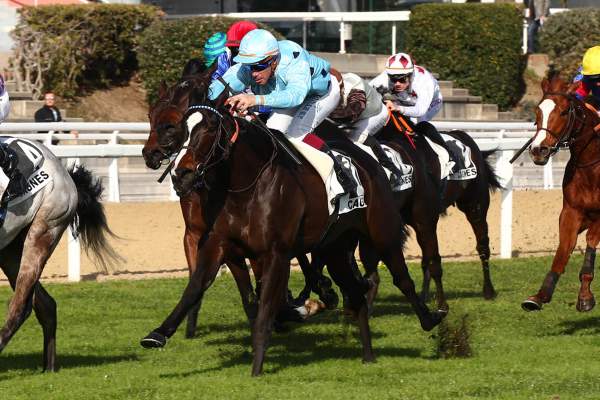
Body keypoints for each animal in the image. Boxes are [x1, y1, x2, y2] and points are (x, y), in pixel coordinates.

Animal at [0, 138, 119, 371]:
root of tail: (65, 173)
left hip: (44, 228)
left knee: (21, 306)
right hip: (9, 250)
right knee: (46, 305)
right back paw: (49, 368)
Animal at [140, 85, 444, 376]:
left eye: (211, 128)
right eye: (182, 127)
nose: (182, 174)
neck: (246, 185)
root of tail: (368, 161)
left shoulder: (275, 253)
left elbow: (265, 305)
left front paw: (258, 365)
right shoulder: (217, 242)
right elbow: (196, 287)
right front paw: (158, 334)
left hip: (385, 231)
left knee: (403, 276)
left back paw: (433, 317)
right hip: (335, 248)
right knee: (356, 292)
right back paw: (368, 354)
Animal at [521, 75, 600, 312]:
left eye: (564, 112)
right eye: (538, 111)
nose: (538, 150)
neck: (592, 166)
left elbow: (590, 245)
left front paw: (585, 296)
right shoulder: (571, 212)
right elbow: (563, 250)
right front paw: (540, 295)